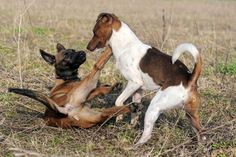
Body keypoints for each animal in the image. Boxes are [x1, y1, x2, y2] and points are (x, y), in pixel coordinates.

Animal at [87, 12, 204, 147]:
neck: (126, 45)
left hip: (155, 107)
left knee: (147, 135)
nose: (87, 47)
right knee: (201, 133)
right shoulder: (138, 90)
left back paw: (134, 146)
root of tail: (190, 79)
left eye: (94, 32)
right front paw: (131, 125)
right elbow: (135, 110)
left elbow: (118, 101)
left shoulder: (134, 83)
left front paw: (119, 117)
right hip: (191, 115)